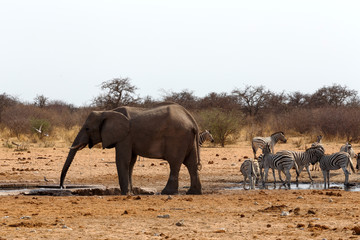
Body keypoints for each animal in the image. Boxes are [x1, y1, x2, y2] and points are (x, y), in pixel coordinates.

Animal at [60, 102, 204, 195]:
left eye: (87, 128)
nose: (62, 187)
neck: (106, 112)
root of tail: (192, 121)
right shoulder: (128, 138)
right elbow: (130, 162)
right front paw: (130, 192)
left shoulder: (125, 136)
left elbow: (122, 160)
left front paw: (125, 193)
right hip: (188, 139)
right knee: (191, 163)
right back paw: (193, 192)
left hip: (177, 138)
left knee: (175, 163)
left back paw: (167, 192)